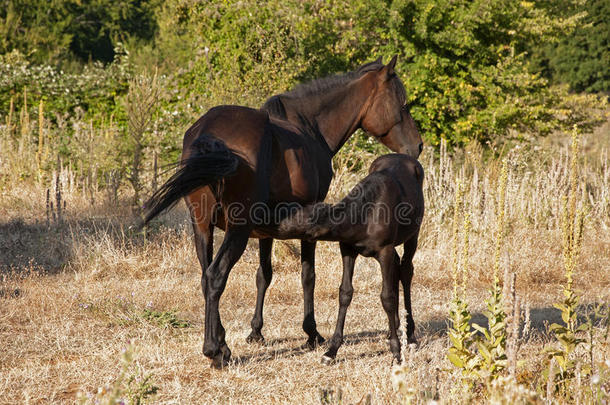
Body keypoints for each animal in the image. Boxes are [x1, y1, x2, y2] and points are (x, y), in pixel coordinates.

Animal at [268, 153, 426, 362]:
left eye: (298, 223)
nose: (269, 220)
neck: (364, 217)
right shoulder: (348, 249)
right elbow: (345, 292)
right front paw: (331, 350)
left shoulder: (385, 250)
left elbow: (387, 297)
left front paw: (396, 352)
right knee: (397, 269)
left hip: (413, 234)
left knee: (406, 271)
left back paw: (411, 336)